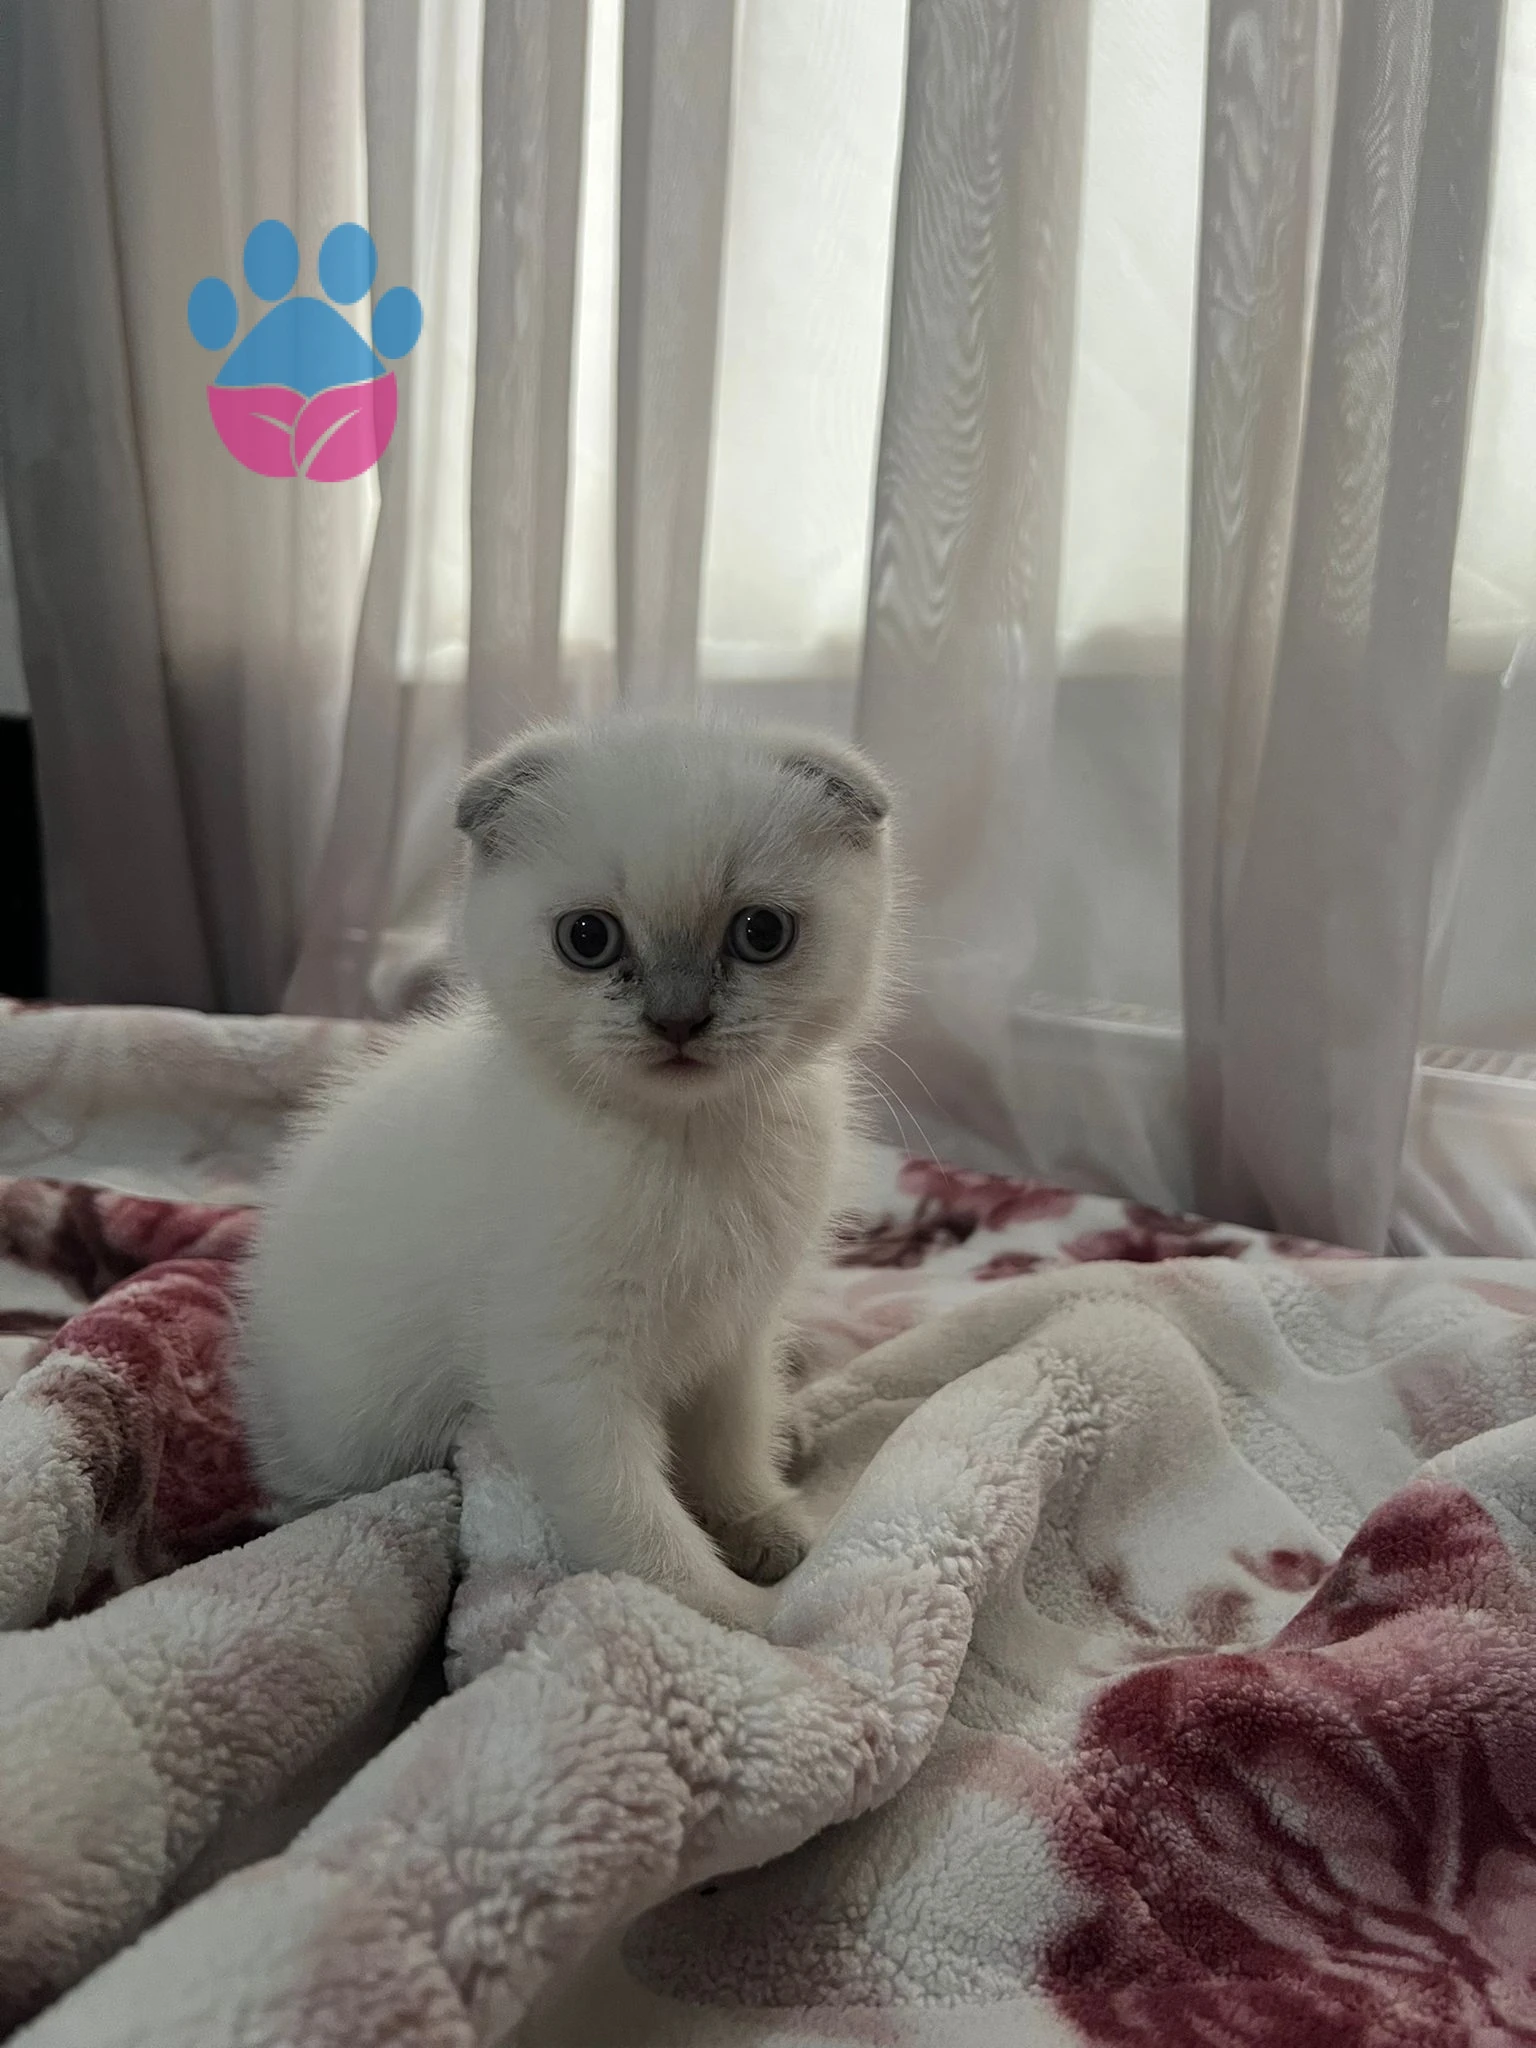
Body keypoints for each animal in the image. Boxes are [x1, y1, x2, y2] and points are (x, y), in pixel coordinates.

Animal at [237, 714, 897, 1632]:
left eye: (761, 934)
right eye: (588, 939)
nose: (678, 1019)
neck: (686, 1148)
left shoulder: (737, 1329)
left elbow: (731, 1441)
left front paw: (764, 1525)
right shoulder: (560, 1371)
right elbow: (634, 1520)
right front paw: (736, 1616)